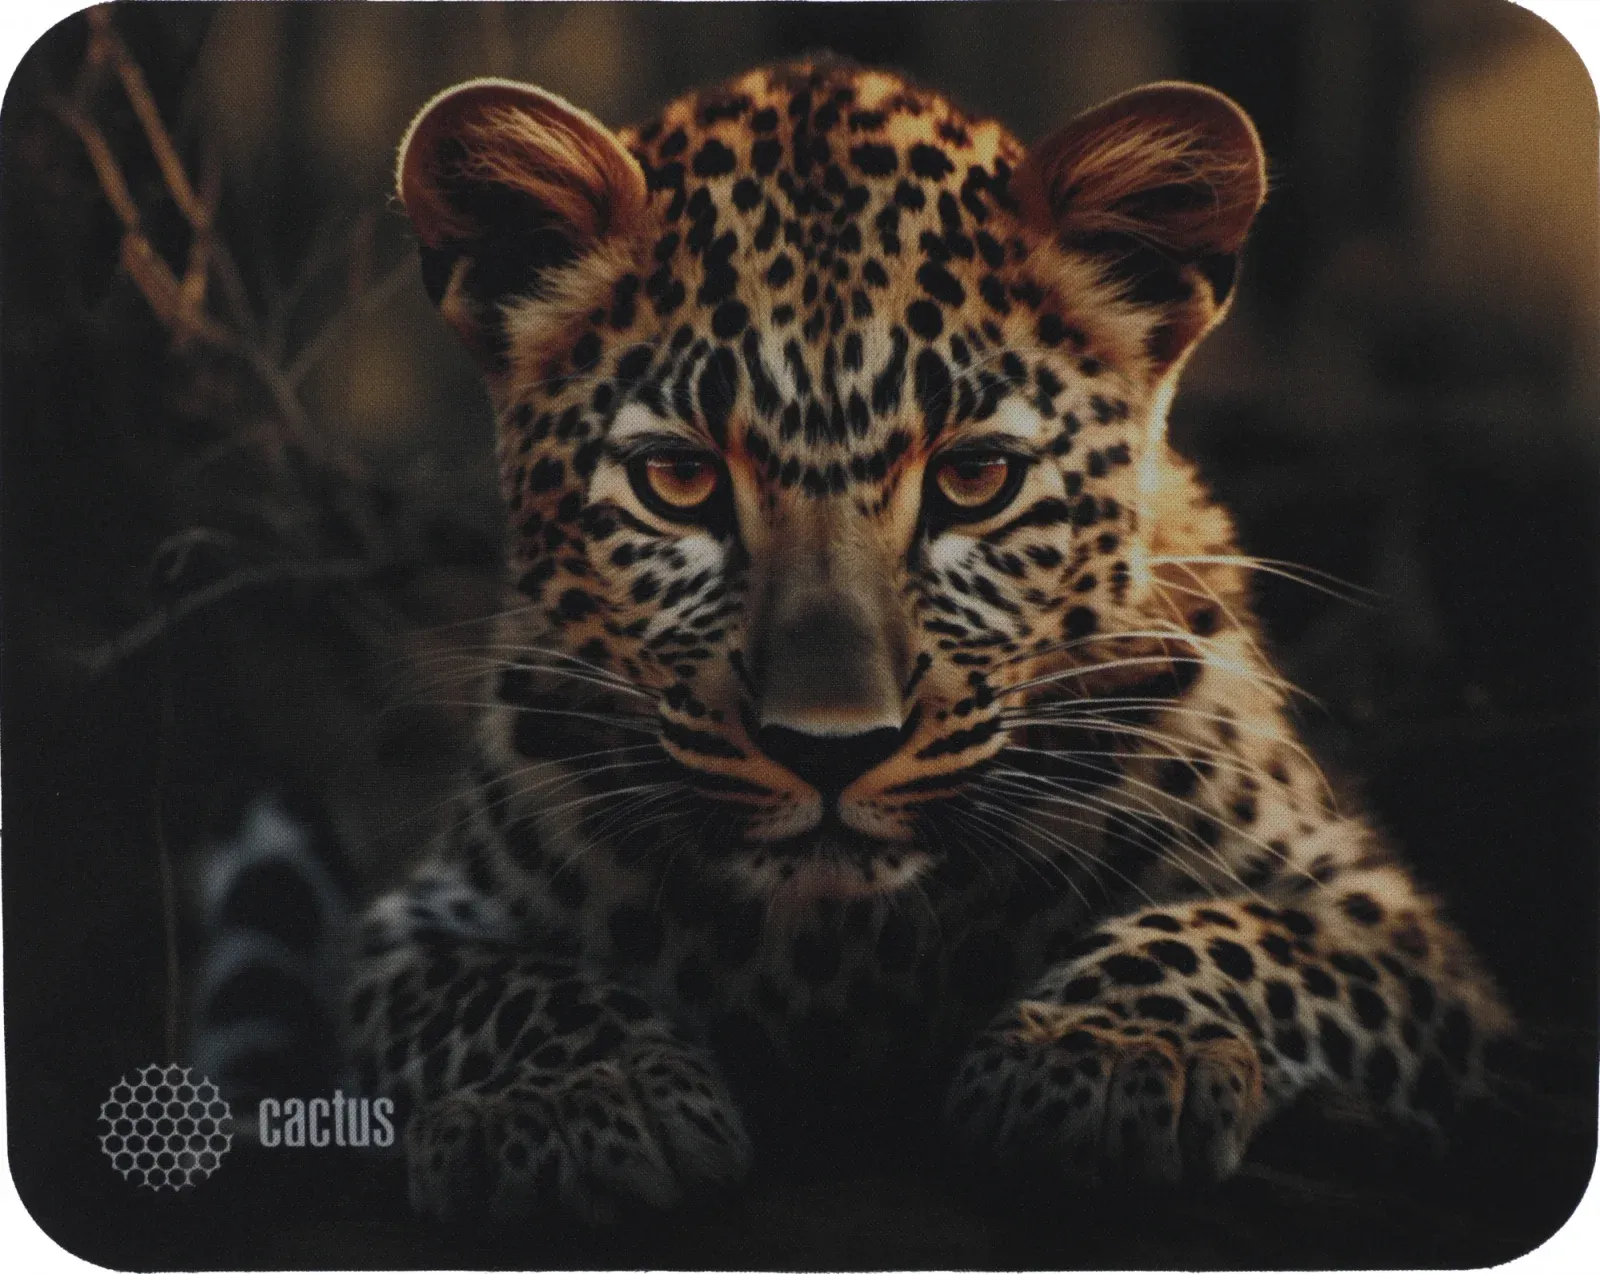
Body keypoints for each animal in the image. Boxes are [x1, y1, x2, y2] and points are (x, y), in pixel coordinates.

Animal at [346, 57, 1513, 1222]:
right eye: (676, 480)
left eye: (975, 478)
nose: (829, 749)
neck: (839, 950)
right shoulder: (416, 927)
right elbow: (501, 987)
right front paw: (574, 1095)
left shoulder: (1386, 926)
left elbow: (1223, 934)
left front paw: (1101, 1053)